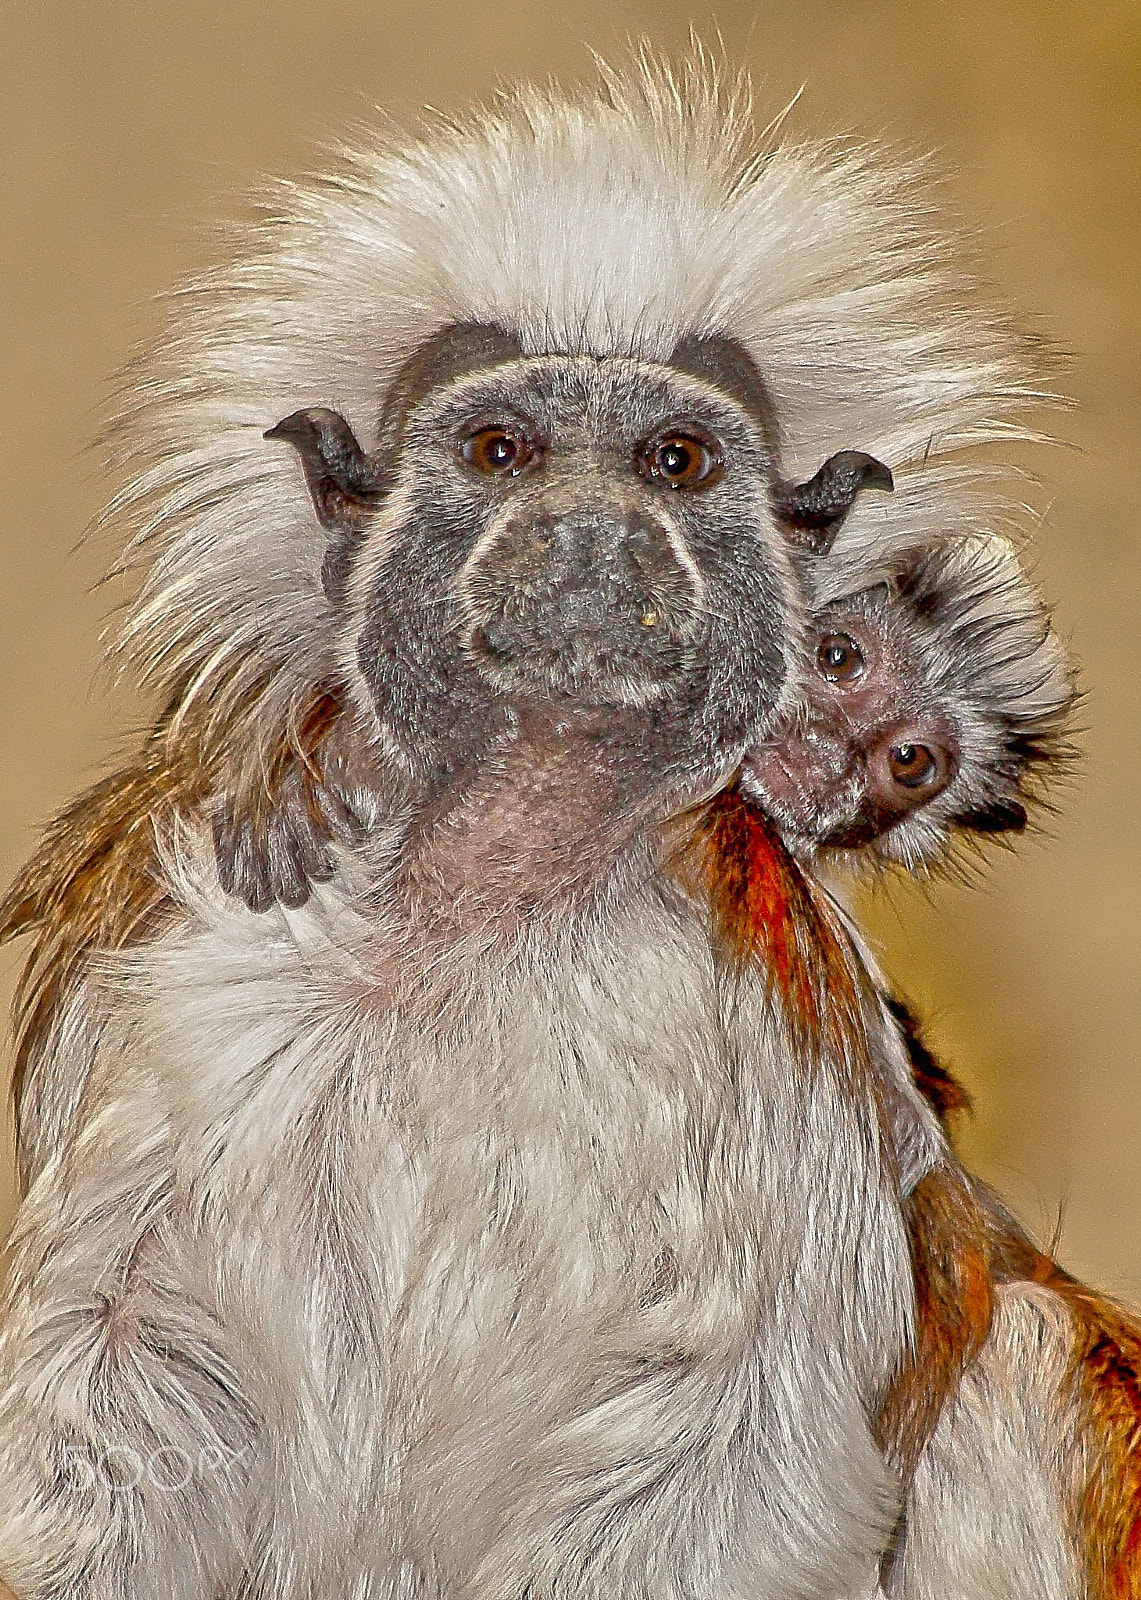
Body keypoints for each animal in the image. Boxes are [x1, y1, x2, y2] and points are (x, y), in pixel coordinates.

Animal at [1, 57, 1137, 1600]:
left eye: (673, 460)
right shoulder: (177, 979)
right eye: (503, 449)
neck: (478, 907)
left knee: (1023, 1345)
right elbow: (114, 1391)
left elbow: (729, 1455)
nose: (593, 528)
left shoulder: (776, 1048)